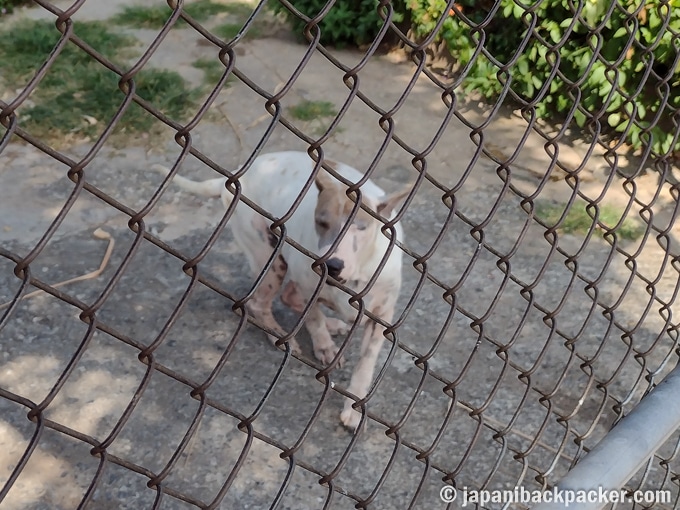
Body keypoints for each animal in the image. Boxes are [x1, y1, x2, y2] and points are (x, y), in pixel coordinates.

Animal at [155, 151, 410, 430]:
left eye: (360, 227)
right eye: (322, 222)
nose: (331, 265)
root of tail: (241, 172)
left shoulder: (381, 317)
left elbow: (365, 363)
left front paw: (354, 408)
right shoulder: (309, 287)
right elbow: (314, 320)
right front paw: (323, 344)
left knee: (287, 297)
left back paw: (332, 323)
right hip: (270, 258)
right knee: (260, 303)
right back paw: (279, 333)